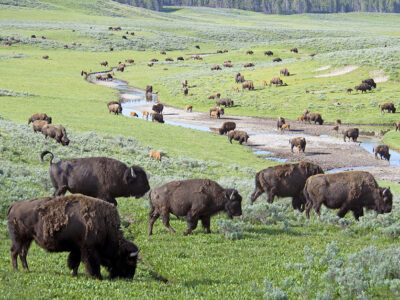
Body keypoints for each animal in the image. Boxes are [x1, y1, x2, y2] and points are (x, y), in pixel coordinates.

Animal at [7, 195, 141, 278]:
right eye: (129, 260)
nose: (130, 277)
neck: (106, 226)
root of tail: (14, 205)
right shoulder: (89, 249)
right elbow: (90, 264)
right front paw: (97, 276)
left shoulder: (78, 249)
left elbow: (75, 262)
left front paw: (75, 274)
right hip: (18, 239)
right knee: (14, 252)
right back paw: (15, 270)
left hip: (27, 240)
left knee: (22, 253)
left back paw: (26, 269)